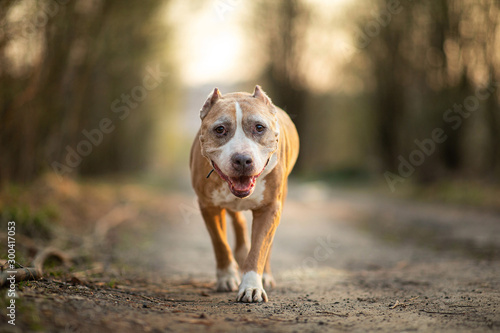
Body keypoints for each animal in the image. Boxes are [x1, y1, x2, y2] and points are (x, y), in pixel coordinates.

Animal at [189, 85, 298, 300]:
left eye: (259, 127)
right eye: (220, 129)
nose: (241, 159)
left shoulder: (269, 208)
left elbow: (259, 249)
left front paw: (251, 286)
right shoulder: (208, 206)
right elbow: (220, 243)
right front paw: (226, 277)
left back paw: (265, 275)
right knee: (237, 222)